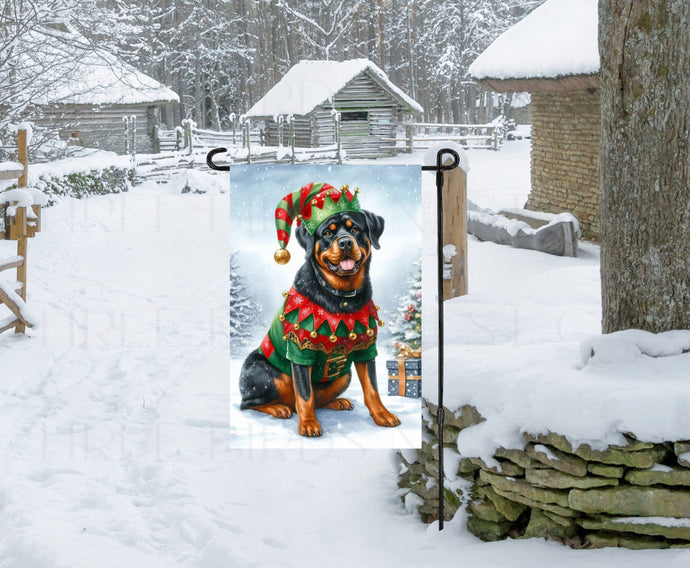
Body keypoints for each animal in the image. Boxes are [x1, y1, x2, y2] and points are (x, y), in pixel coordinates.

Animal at [238, 189, 398, 438]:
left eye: (355, 229)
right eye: (327, 233)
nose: (345, 242)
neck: (341, 298)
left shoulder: (366, 348)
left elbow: (372, 388)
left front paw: (382, 414)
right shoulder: (299, 349)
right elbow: (305, 394)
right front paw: (308, 424)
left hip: (343, 375)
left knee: (317, 397)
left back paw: (337, 402)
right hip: (262, 372)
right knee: (251, 403)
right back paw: (278, 408)